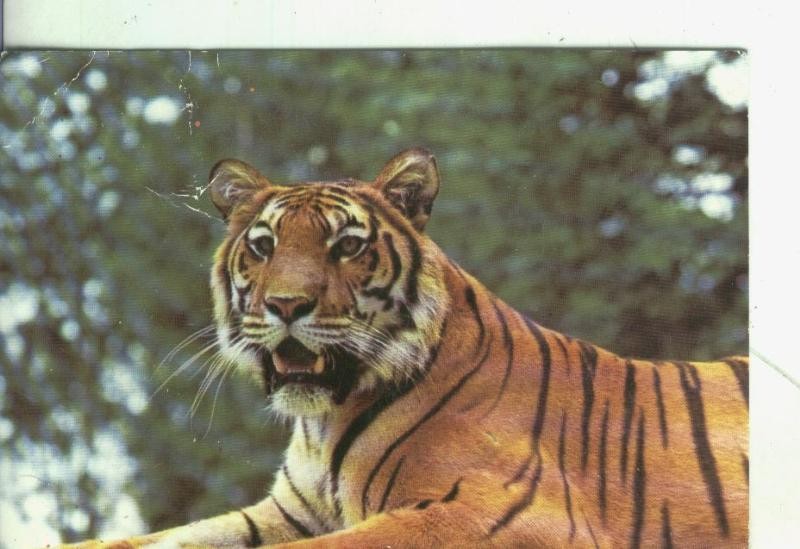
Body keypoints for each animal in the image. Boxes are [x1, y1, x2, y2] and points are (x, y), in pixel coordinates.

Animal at [70, 148, 748, 548]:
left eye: (346, 246)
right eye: (263, 247)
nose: (286, 305)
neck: (323, 421)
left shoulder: (495, 510)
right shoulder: (287, 512)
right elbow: (152, 540)